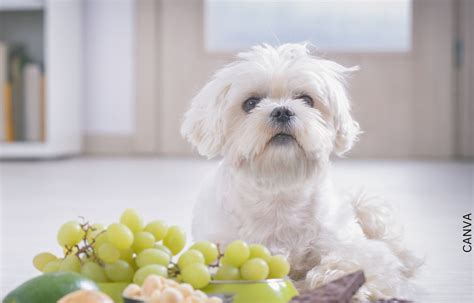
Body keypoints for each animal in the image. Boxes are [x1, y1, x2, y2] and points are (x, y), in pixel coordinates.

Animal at [180, 42, 420, 302]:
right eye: (251, 103)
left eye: (306, 99)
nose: (282, 111)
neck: (279, 187)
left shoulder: (352, 245)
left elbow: (354, 261)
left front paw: (337, 282)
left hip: (369, 209)